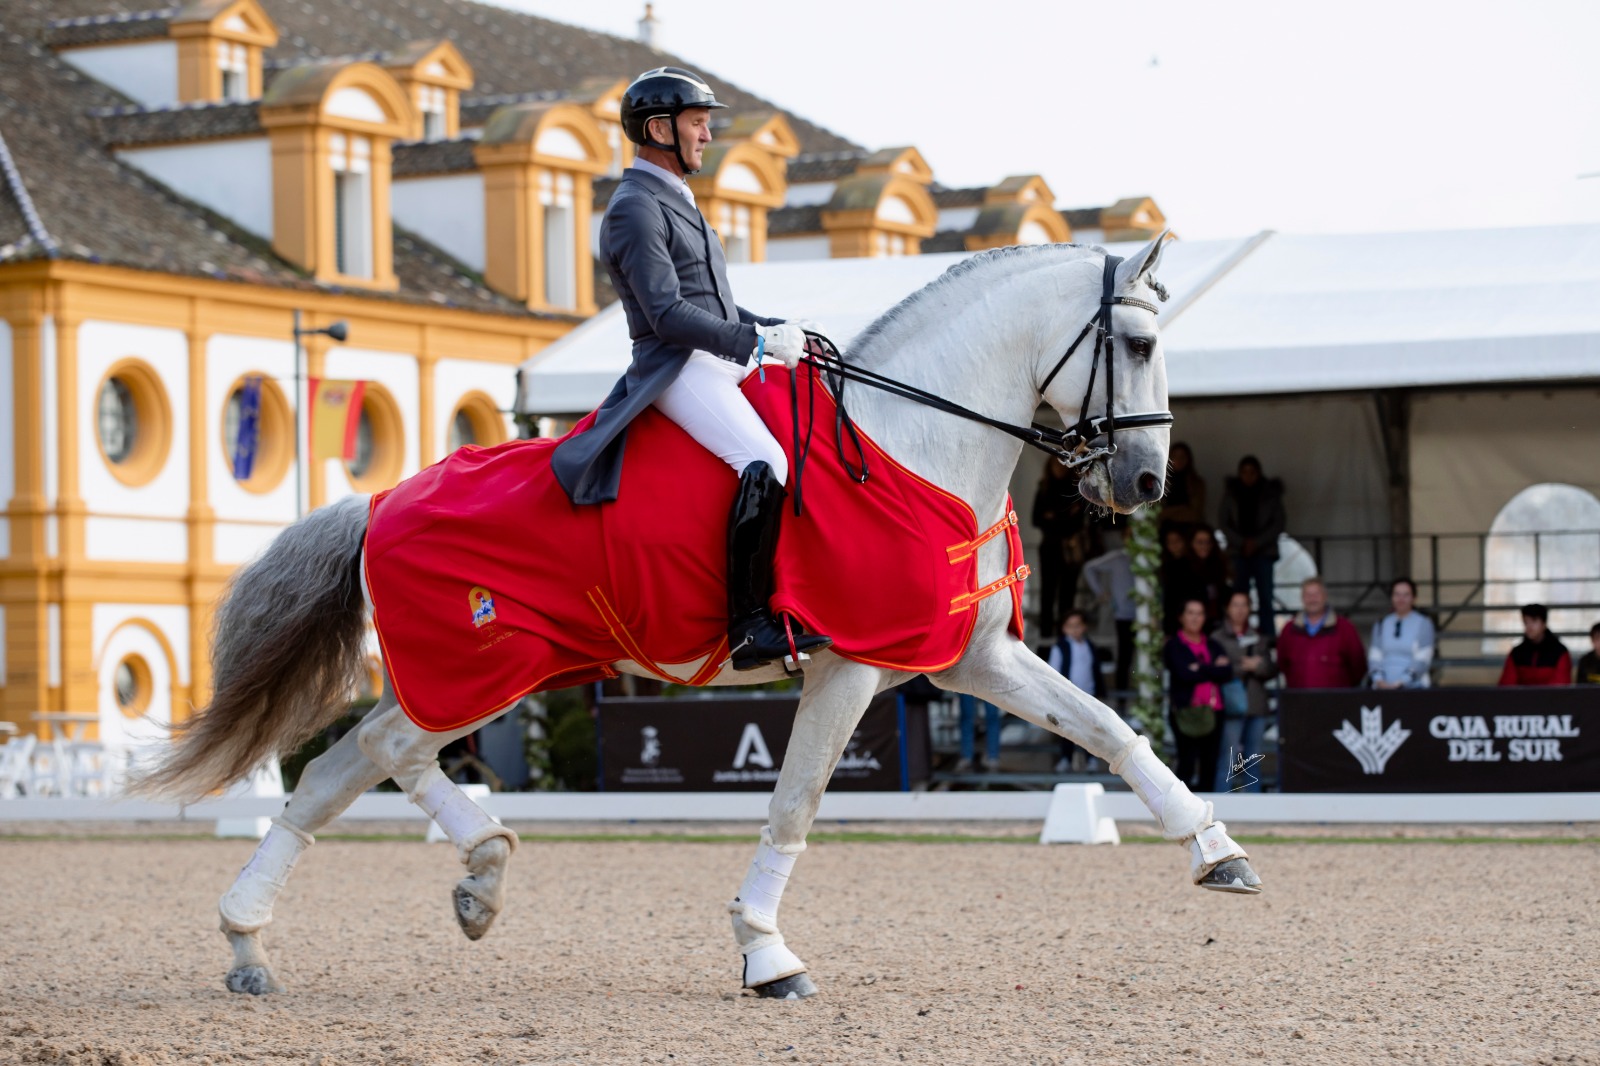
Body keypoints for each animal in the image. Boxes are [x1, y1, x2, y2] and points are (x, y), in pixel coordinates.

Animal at [134, 235, 1260, 998]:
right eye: (1140, 341)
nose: (1146, 481)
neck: (912, 441)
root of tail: (377, 502)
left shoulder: (970, 657)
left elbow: (1110, 730)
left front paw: (1217, 852)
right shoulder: (851, 665)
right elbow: (795, 803)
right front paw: (766, 953)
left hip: (482, 670)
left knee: (362, 762)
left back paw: (390, 902)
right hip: (480, 666)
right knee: (360, 759)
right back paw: (350, 910)